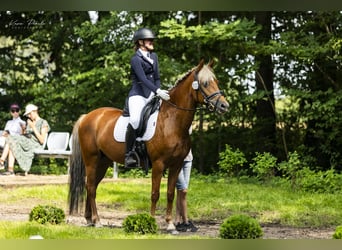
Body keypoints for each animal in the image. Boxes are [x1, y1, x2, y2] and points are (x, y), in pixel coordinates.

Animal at [68, 59, 228, 229]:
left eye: (216, 81)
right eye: (205, 83)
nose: (224, 106)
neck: (172, 121)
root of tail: (87, 116)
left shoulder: (176, 164)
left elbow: (170, 194)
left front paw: (170, 224)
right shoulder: (158, 164)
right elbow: (155, 194)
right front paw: (151, 221)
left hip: (103, 161)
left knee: (91, 186)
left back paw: (89, 219)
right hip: (91, 159)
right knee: (91, 187)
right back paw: (97, 221)